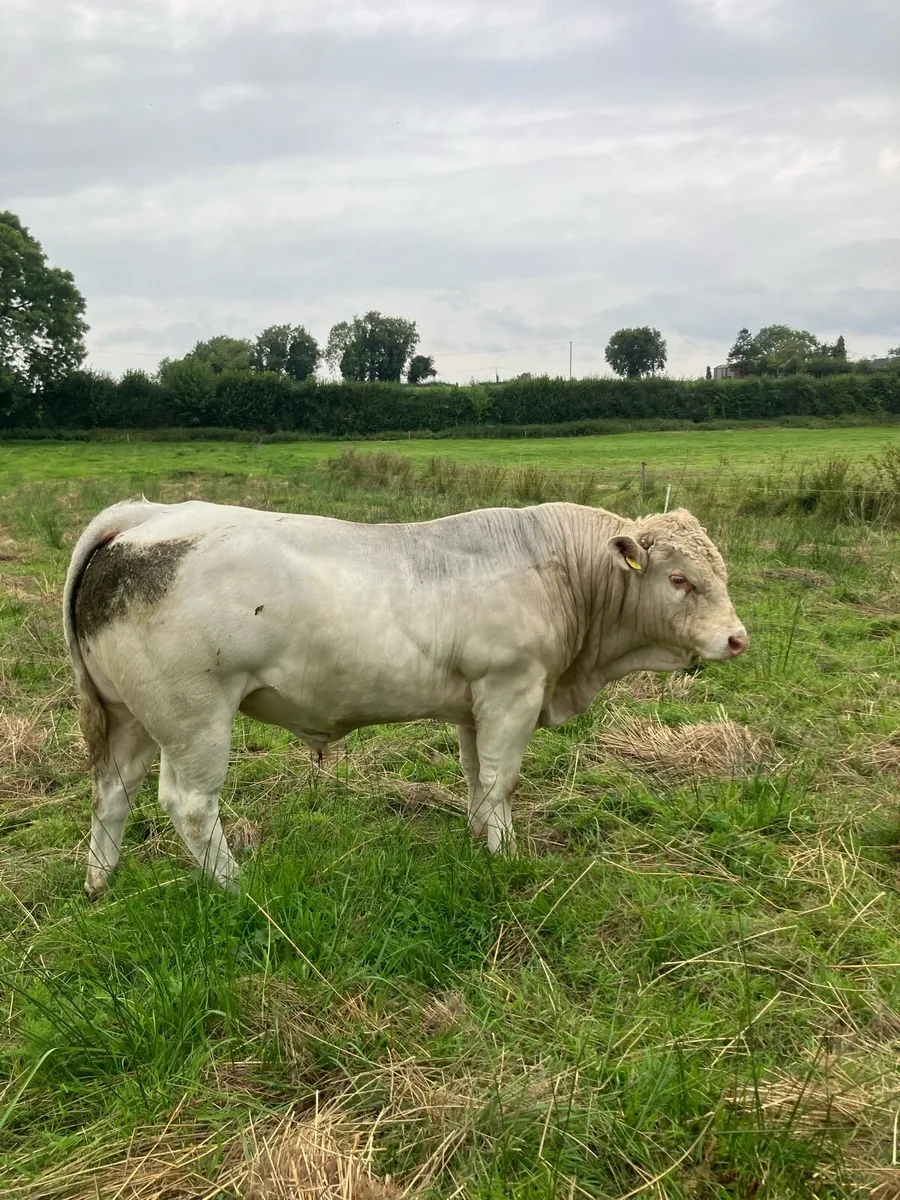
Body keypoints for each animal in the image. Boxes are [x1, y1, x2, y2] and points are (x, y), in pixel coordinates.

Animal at [63, 498, 748, 899]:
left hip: (130, 716)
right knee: (190, 804)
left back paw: (100, 886)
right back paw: (237, 887)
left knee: (112, 794)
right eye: (680, 579)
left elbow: (476, 777)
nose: (737, 638)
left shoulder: (476, 701)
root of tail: (144, 517)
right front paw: (505, 857)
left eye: (720, 572)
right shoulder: (513, 686)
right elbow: (502, 780)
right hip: (195, 717)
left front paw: (480, 839)